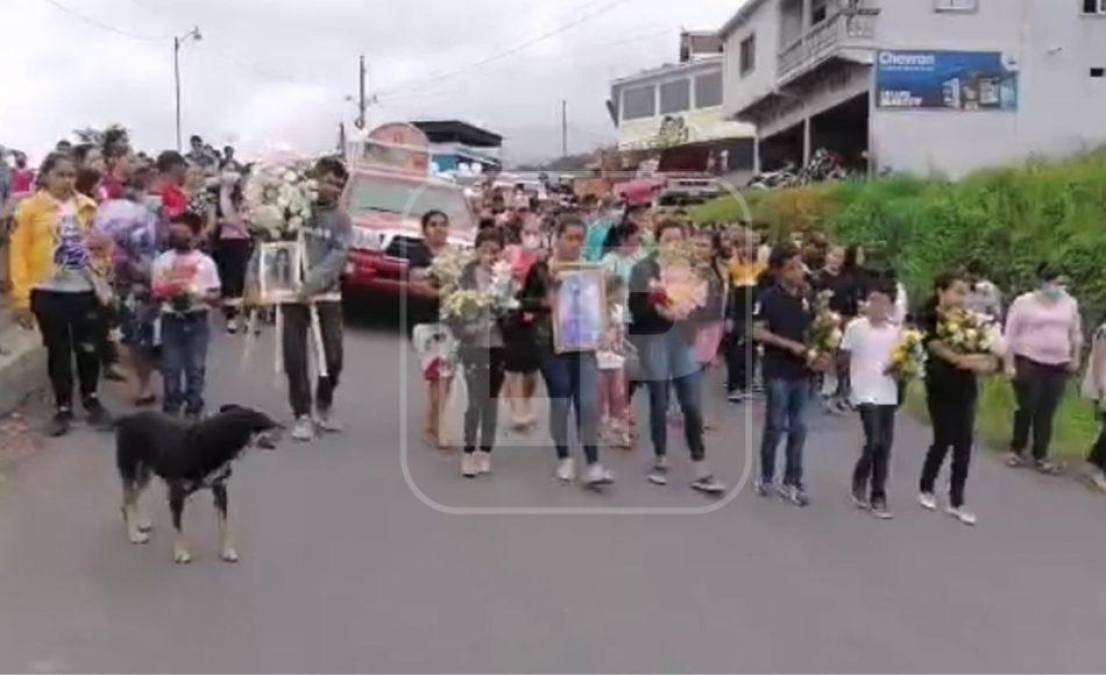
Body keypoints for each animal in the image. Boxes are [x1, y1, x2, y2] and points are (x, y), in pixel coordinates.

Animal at [112, 402, 283, 559]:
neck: (210, 444)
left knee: (131, 498)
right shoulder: (176, 493)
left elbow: (224, 524)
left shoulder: (220, 490)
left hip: (146, 474)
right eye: (267, 423)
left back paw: (139, 522)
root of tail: (127, 418)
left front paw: (226, 551)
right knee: (128, 499)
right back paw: (134, 534)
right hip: (130, 470)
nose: (284, 427)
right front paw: (181, 552)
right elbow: (178, 526)